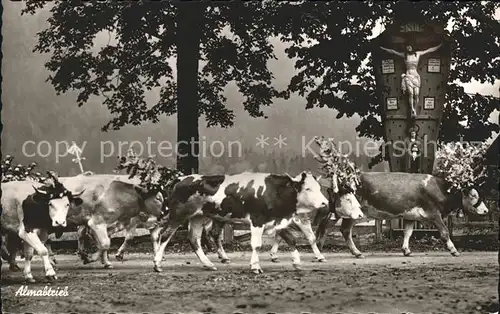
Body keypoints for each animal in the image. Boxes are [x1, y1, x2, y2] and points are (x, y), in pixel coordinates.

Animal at [150, 170, 332, 274]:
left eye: (318, 188)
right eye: (308, 188)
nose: (325, 203)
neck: (273, 191)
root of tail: (181, 179)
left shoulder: (276, 221)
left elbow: (291, 239)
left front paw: (296, 262)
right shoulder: (257, 220)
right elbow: (256, 245)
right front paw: (255, 266)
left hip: (198, 217)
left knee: (194, 239)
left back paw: (208, 264)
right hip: (178, 215)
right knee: (164, 235)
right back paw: (157, 263)